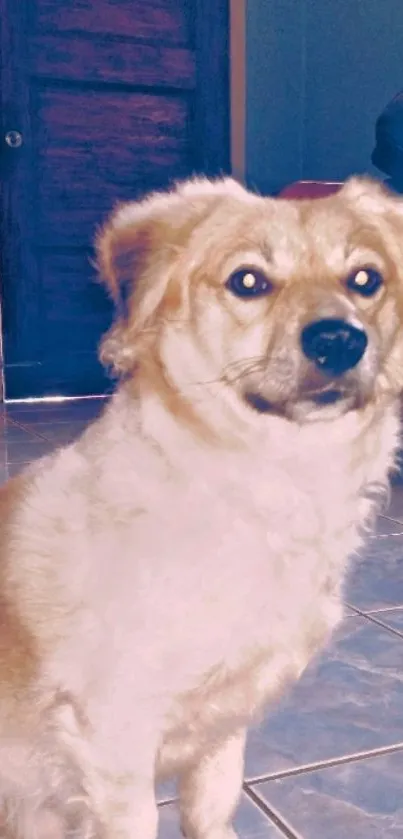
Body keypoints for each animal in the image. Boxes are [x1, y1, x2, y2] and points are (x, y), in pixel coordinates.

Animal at [0, 172, 403, 839]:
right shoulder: (113, 740)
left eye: (365, 279)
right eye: (249, 281)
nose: (340, 340)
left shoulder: (225, 721)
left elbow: (213, 805)